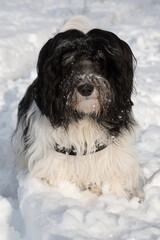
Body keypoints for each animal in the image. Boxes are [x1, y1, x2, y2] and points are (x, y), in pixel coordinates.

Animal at [13, 14, 144, 199]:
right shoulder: (52, 166)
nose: (86, 88)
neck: (83, 118)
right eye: (69, 63)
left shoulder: (113, 163)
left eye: (100, 61)